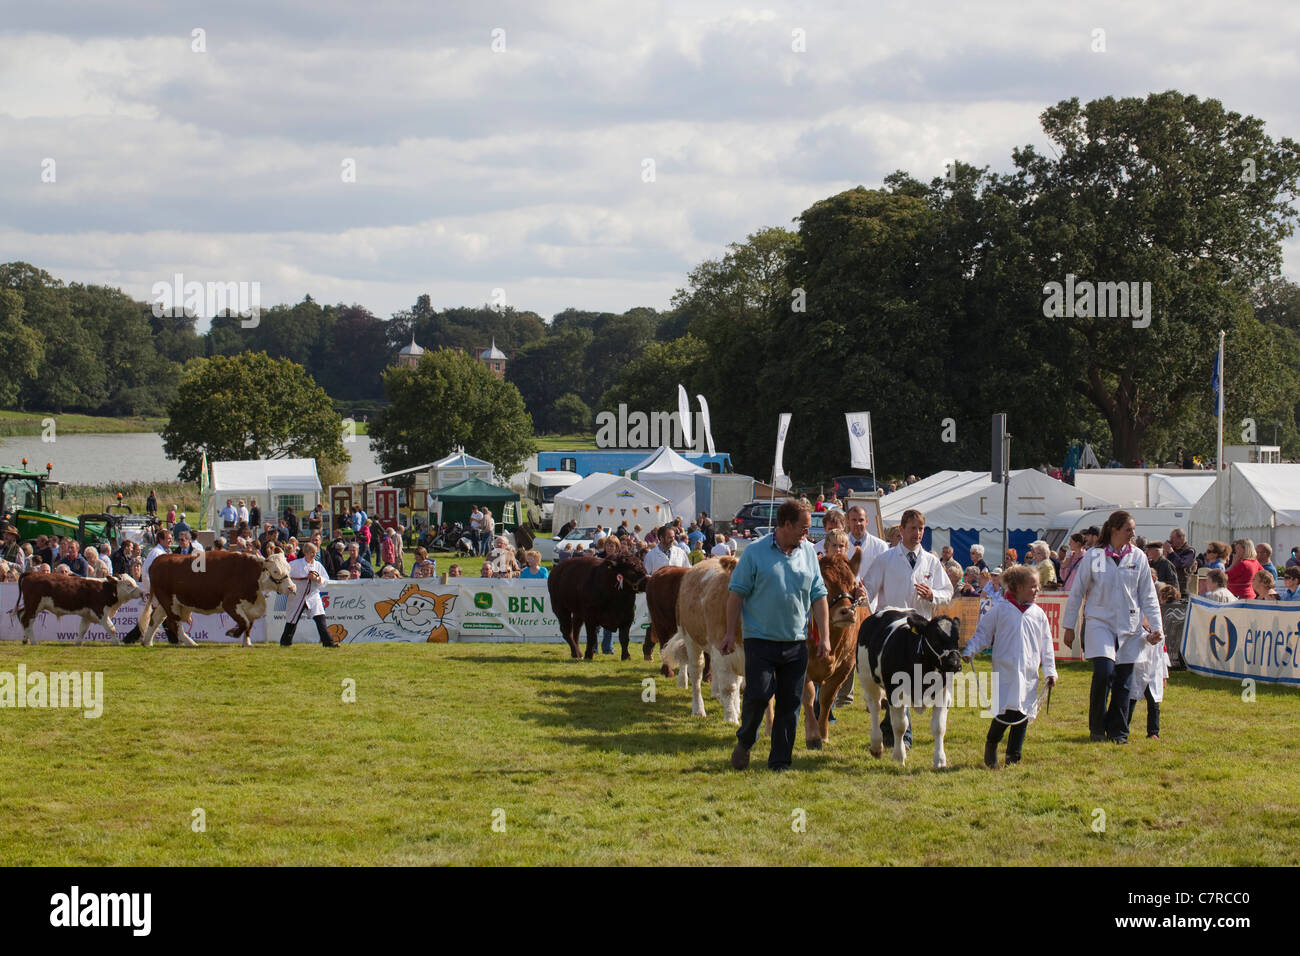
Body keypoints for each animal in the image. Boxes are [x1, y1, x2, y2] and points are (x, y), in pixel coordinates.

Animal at [12, 572, 142, 647]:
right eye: (129, 584)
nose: (142, 592)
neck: (105, 590)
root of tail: (32, 574)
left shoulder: (87, 615)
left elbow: (83, 629)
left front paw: (78, 643)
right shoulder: (101, 613)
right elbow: (111, 628)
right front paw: (117, 643)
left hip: (31, 606)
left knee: (21, 615)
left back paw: (25, 640)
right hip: (34, 605)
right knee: (27, 620)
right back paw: (34, 642)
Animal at [132, 548, 295, 647]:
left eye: (289, 568)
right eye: (275, 571)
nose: (292, 588)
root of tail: (160, 559)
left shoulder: (251, 606)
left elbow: (249, 625)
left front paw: (247, 643)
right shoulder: (230, 603)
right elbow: (244, 623)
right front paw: (232, 633)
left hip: (168, 602)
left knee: (155, 618)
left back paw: (147, 642)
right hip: (169, 602)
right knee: (173, 622)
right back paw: (189, 642)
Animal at [795, 548, 868, 749]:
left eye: (853, 584)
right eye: (825, 585)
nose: (847, 611)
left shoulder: (846, 665)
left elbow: (826, 698)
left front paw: (823, 734)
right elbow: (808, 695)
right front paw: (813, 735)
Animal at [852, 613, 967, 770]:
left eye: (957, 638)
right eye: (935, 638)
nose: (955, 664)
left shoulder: (943, 695)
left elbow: (939, 727)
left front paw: (939, 760)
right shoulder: (894, 693)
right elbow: (899, 726)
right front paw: (898, 757)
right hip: (866, 677)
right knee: (875, 708)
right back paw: (876, 746)